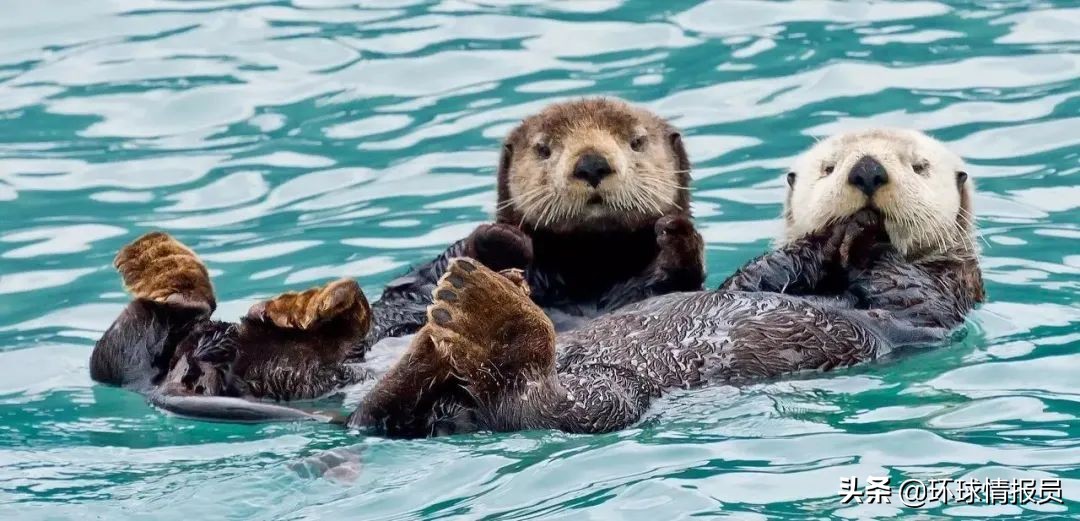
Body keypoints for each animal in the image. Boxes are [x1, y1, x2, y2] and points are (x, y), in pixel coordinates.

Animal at [349, 128, 984, 436]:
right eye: (830, 168)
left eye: (918, 167)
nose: (867, 172)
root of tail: (453, 414)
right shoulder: (761, 275)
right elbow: (757, 278)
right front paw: (834, 233)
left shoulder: (948, 294)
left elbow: (910, 291)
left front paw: (865, 236)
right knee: (379, 414)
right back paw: (437, 336)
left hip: (610, 394)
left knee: (540, 406)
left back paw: (484, 317)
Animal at [358, 96, 704, 352]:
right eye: (543, 149)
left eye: (637, 141)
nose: (592, 163)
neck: (588, 271)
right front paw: (501, 238)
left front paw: (675, 233)